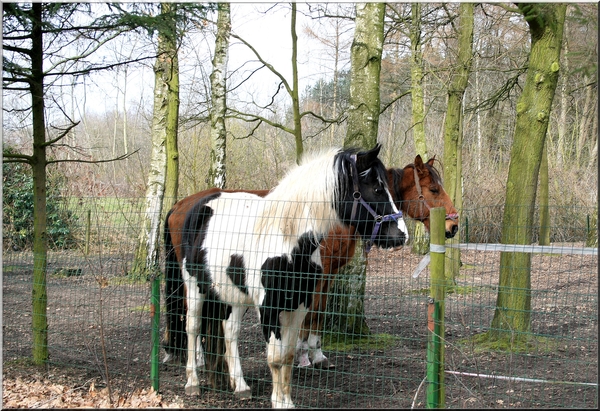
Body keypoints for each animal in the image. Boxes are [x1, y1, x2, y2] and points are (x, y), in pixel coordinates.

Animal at [162, 155, 458, 374]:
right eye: (434, 190)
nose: (453, 226)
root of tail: (180, 205)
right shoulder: (318, 276)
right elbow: (314, 314)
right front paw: (309, 355)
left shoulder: (327, 276)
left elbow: (317, 313)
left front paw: (312, 352)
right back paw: (197, 359)